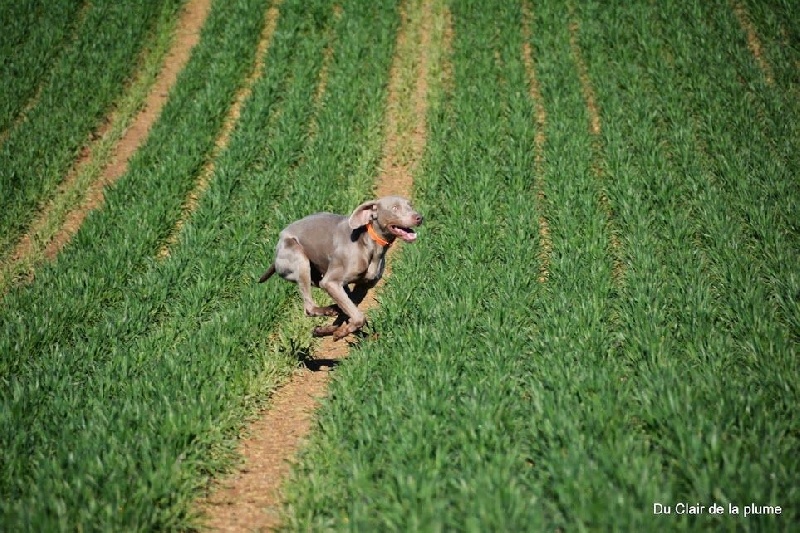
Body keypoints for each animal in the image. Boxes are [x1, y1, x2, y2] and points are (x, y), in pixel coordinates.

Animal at [262, 197, 424, 338]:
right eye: (395, 208)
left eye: (410, 205)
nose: (419, 217)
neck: (371, 245)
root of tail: (280, 240)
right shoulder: (330, 283)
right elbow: (358, 316)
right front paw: (342, 332)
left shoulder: (363, 287)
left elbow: (350, 310)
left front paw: (332, 330)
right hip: (298, 257)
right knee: (309, 307)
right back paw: (329, 311)